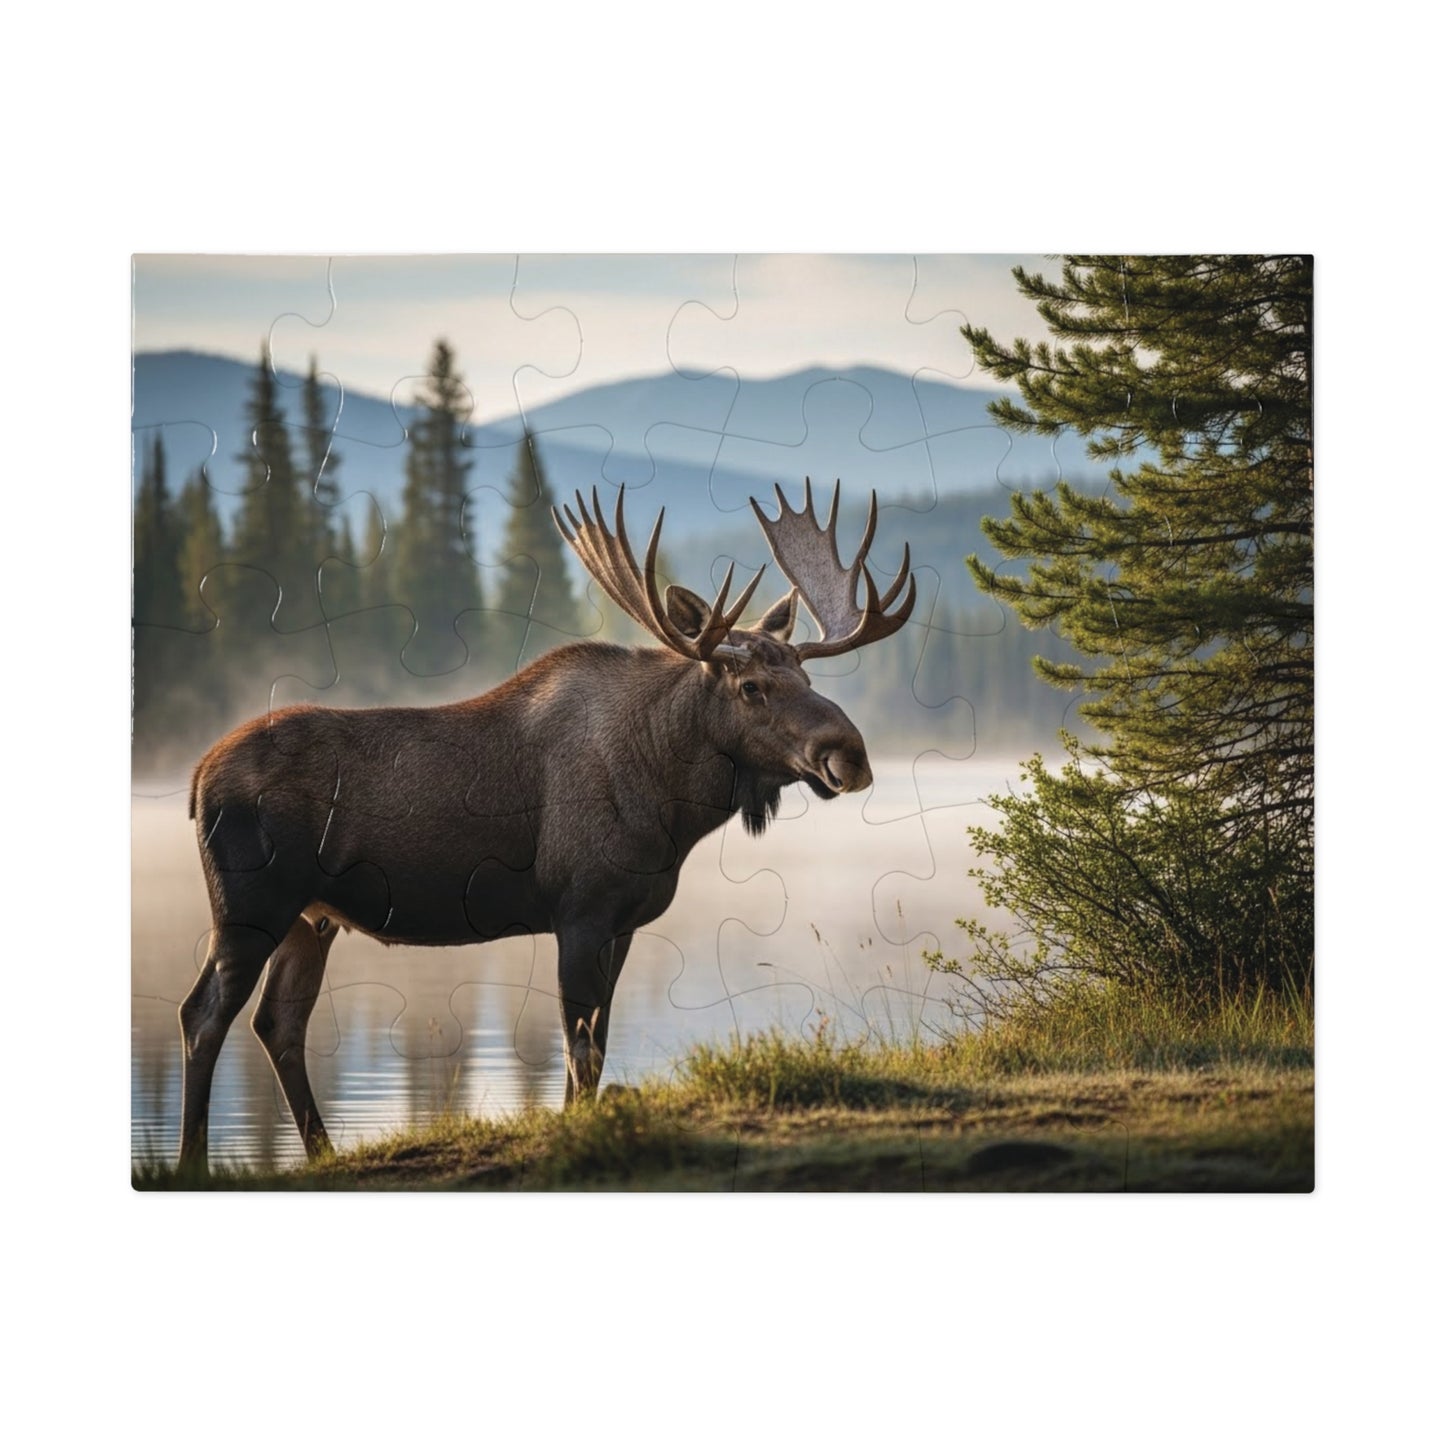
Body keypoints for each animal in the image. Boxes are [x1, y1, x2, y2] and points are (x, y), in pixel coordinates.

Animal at [177, 480, 915, 1170]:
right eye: (751, 687)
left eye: (805, 676)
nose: (849, 754)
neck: (672, 804)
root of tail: (197, 775)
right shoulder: (579, 910)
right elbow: (578, 1045)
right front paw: (574, 1133)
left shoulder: (621, 922)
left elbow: (599, 1042)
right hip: (249, 907)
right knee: (203, 1014)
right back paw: (193, 1161)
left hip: (311, 917)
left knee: (278, 1021)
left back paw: (322, 1150)